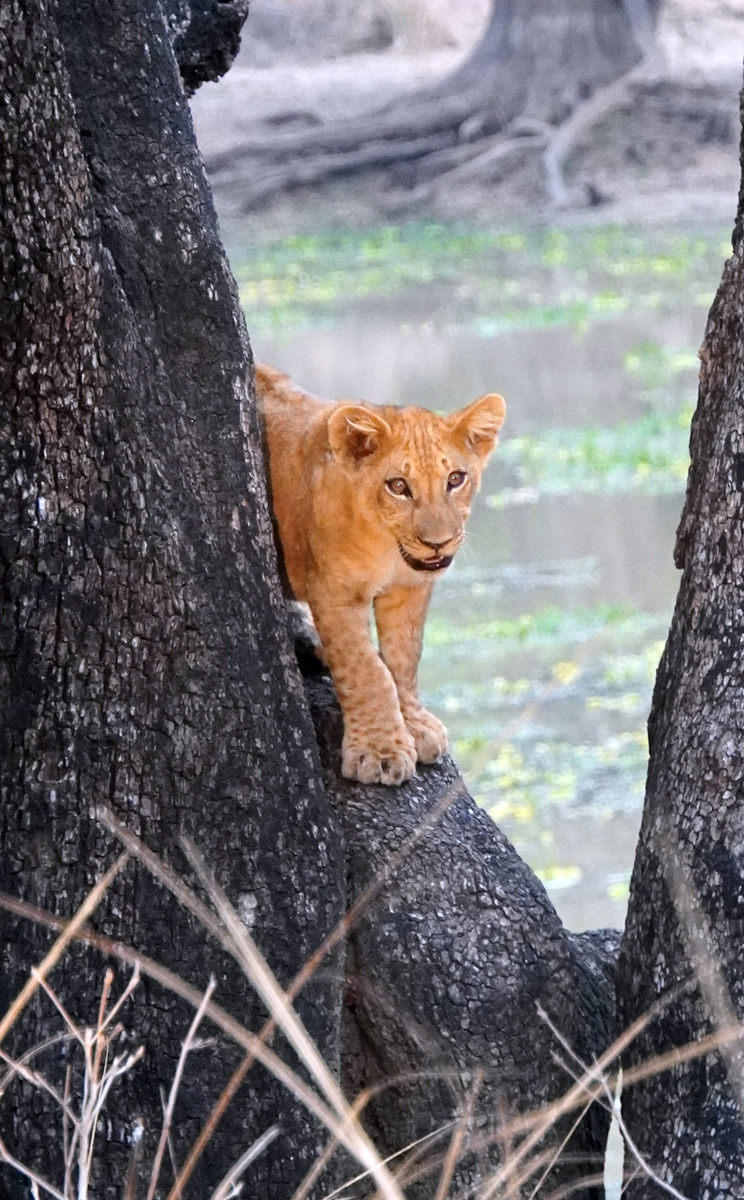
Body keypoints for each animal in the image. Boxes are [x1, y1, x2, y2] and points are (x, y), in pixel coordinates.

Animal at [256, 363, 506, 786]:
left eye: (456, 479)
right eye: (398, 486)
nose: (438, 543)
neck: (387, 548)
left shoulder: (410, 589)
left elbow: (404, 659)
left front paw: (416, 727)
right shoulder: (334, 594)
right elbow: (367, 670)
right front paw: (379, 752)